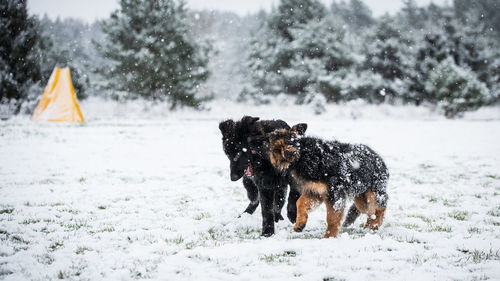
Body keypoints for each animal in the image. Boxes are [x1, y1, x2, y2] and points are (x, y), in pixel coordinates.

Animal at [262, 123, 390, 237]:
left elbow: (332, 218)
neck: (305, 157)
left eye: (290, 142)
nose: (291, 153)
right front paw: (300, 224)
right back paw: (370, 226)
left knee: (381, 206)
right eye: (277, 149)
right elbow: (300, 203)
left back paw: (375, 224)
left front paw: (329, 237)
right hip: (361, 198)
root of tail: (378, 158)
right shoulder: (315, 191)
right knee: (370, 211)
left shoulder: (334, 193)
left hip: (372, 193)